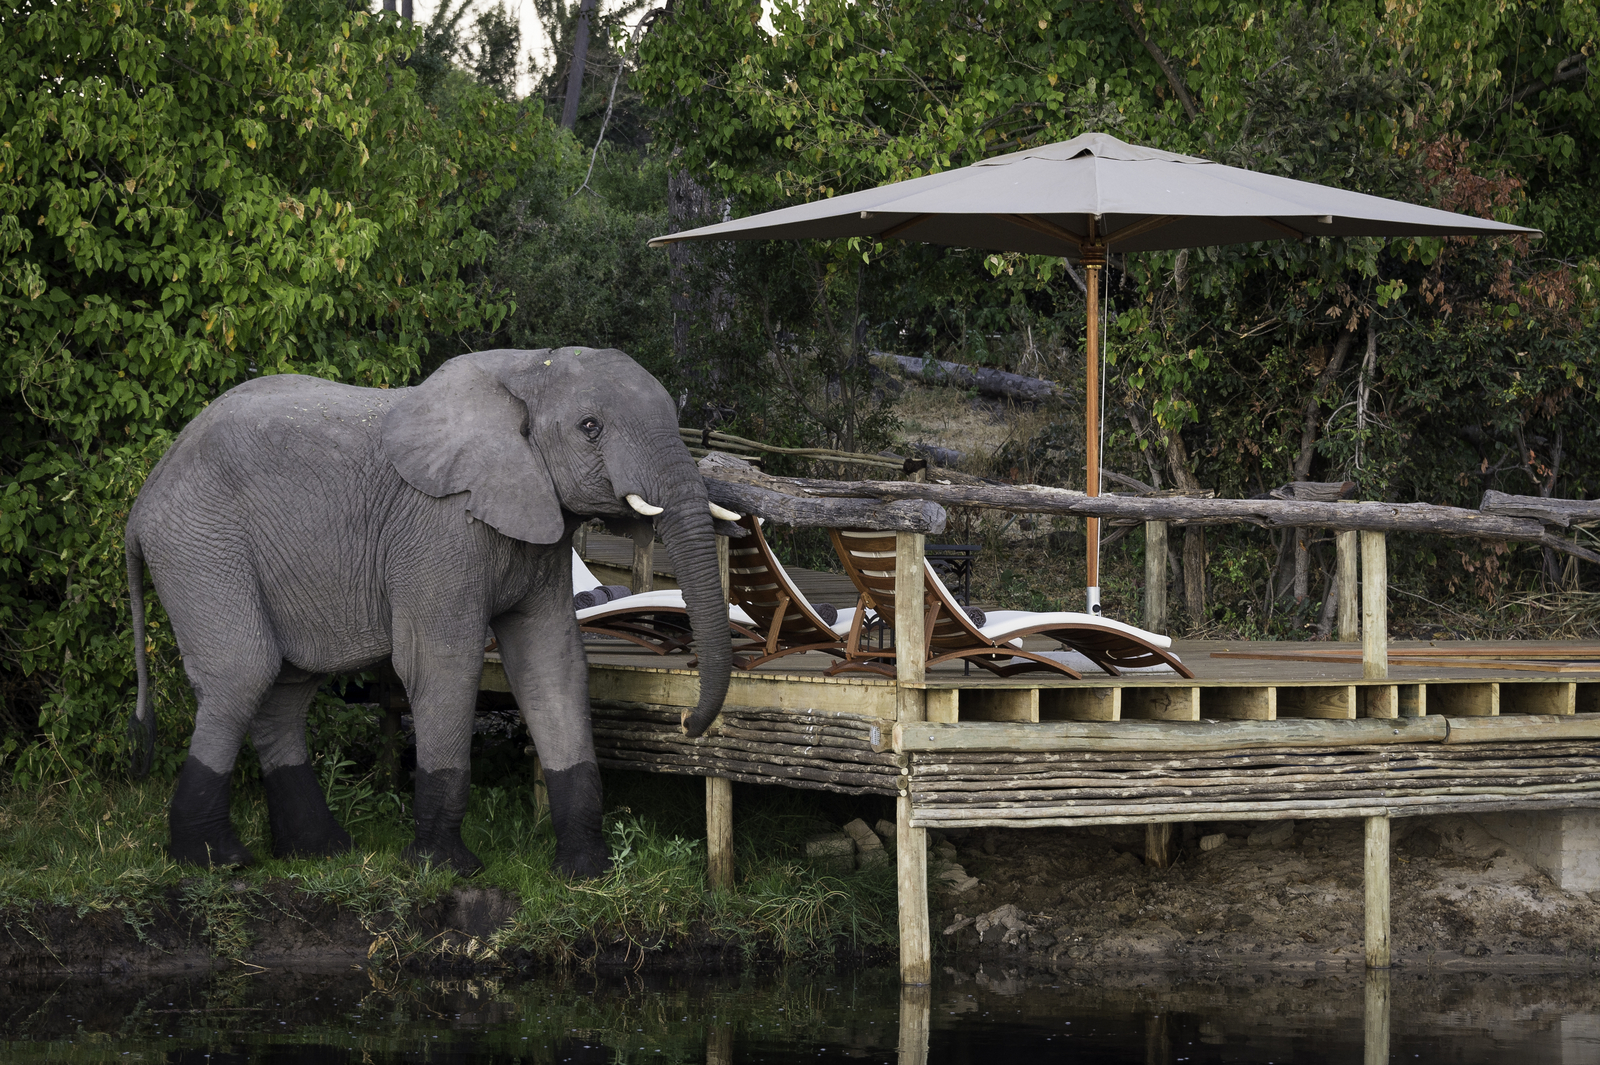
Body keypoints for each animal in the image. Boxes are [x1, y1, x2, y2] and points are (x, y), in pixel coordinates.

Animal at [124, 347, 734, 876]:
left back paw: (320, 851)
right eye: (590, 427)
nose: (687, 721)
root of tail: (143, 497)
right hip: (200, 544)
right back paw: (216, 862)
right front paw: (444, 870)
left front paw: (585, 873)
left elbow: (552, 665)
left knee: (286, 690)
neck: (526, 368)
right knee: (244, 673)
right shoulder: (438, 530)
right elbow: (443, 664)